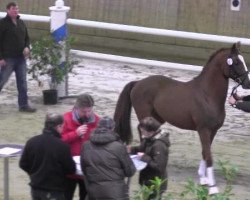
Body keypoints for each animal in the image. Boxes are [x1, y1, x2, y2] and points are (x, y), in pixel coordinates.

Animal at [114, 41, 250, 194]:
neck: (207, 95)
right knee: (142, 133)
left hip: (157, 118)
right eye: (237, 62)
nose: (248, 83)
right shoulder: (203, 130)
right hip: (145, 115)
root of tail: (138, 83)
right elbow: (209, 157)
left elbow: (205, 153)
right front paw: (213, 188)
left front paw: (203, 179)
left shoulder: (213, 131)